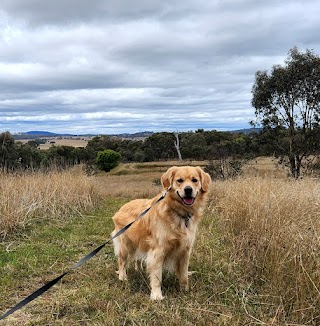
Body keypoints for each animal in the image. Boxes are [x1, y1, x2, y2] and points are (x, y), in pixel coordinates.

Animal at [111, 166, 211, 300]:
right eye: (179, 180)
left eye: (194, 180)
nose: (188, 190)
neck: (179, 213)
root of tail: (122, 207)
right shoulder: (158, 251)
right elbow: (157, 276)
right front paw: (156, 295)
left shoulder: (185, 251)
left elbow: (184, 275)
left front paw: (184, 290)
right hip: (126, 245)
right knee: (121, 261)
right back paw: (122, 277)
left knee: (137, 258)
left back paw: (139, 270)